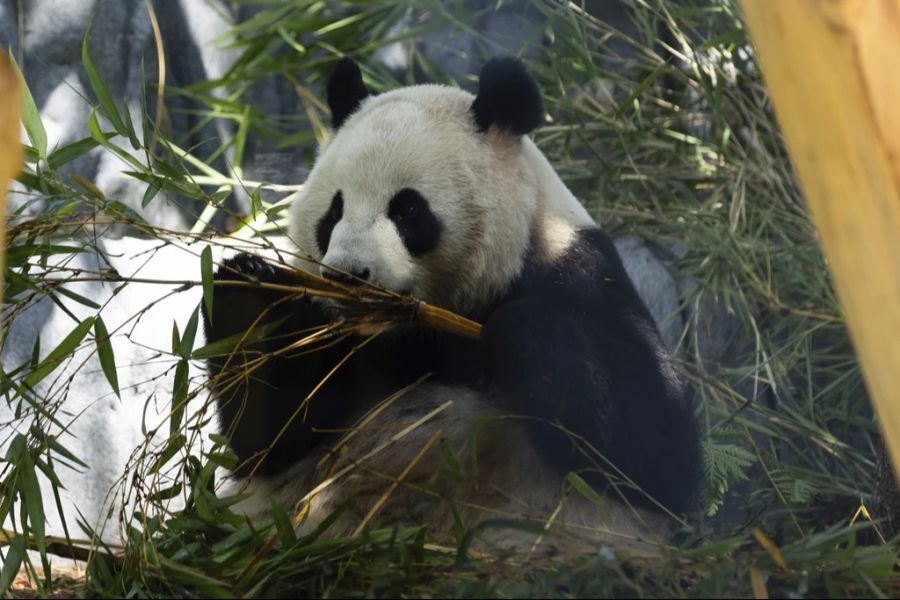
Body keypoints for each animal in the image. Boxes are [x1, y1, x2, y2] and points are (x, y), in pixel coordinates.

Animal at [202, 57, 700, 552]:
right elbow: (270, 440)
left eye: (407, 210)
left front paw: (520, 331)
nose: (347, 275)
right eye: (334, 211)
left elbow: (656, 456)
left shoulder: (580, 276)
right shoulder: (344, 340)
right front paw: (246, 288)